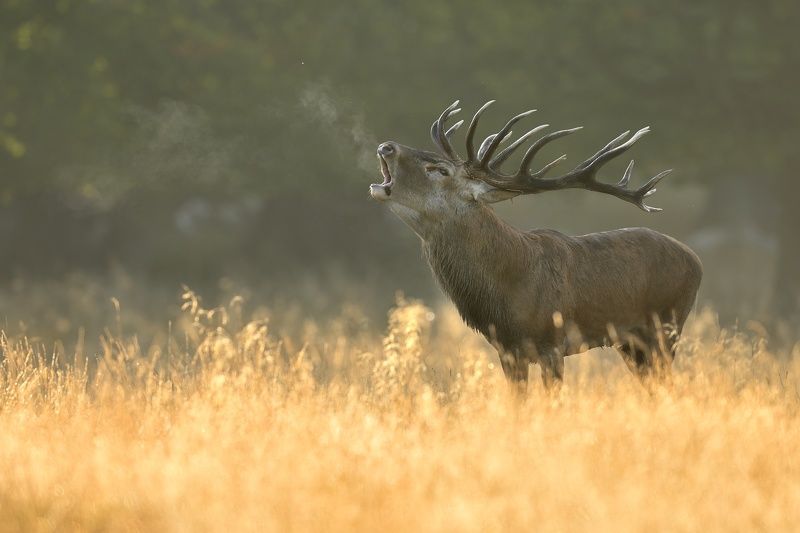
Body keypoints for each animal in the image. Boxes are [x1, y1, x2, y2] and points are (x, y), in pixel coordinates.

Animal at [369, 100, 702, 390]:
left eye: (440, 170)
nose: (386, 146)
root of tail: (697, 261)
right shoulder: (507, 351)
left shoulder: (552, 343)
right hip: (630, 342)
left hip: (667, 327)